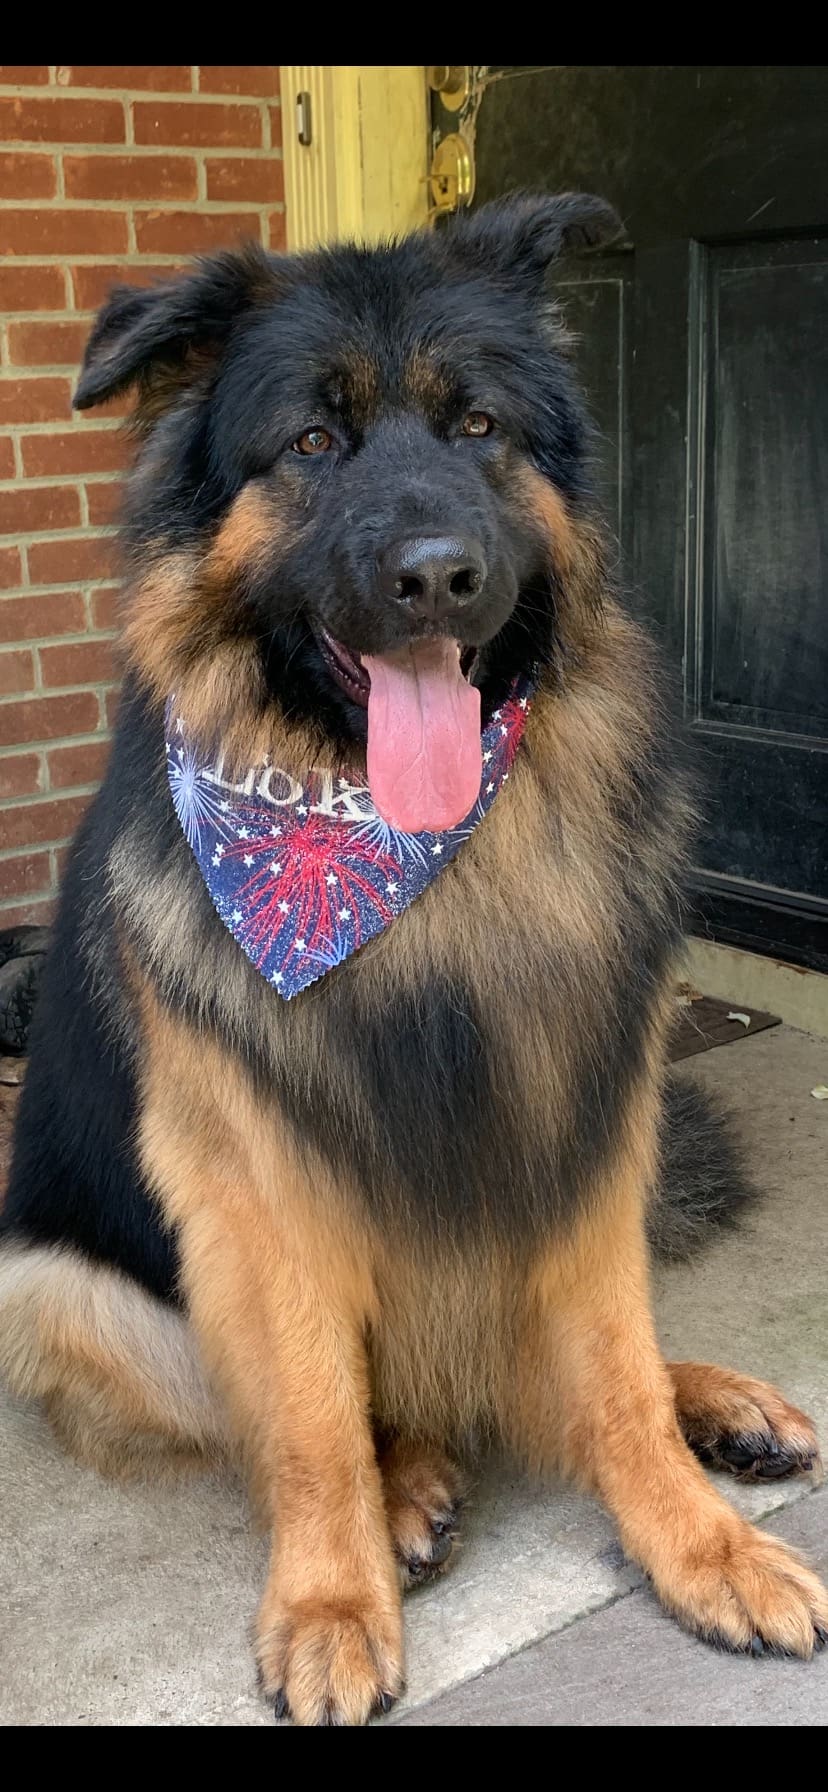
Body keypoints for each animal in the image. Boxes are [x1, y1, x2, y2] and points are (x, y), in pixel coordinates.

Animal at [0, 196, 824, 1720]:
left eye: (480, 427)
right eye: (312, 444)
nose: (441, 577)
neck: (403, 869)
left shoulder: (584, 1124)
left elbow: (611, 1366)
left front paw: (701, 1541)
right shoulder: (253, 1183)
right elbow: (314, 1418)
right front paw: (333, 1595)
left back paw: (711, 1406)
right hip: (60, 1285)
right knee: (321, 1410)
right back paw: (409, 1486)